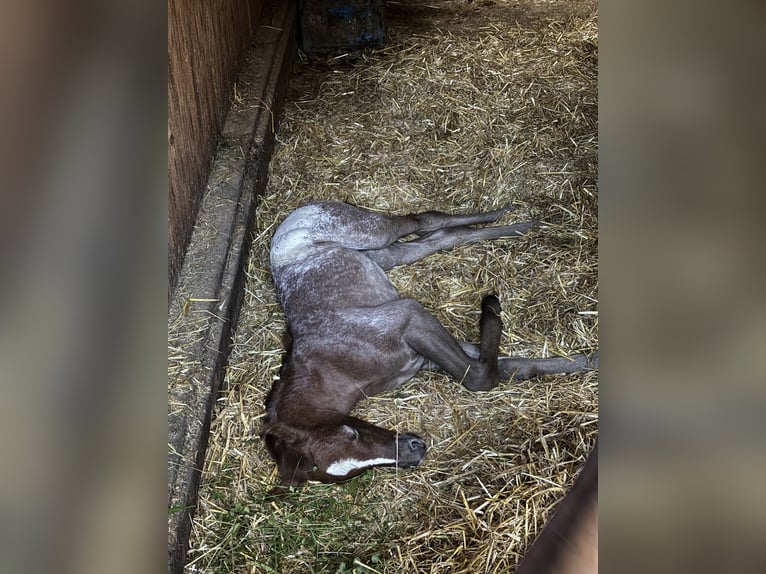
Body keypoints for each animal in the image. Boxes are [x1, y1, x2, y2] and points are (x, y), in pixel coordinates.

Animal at [260, 201, 596, 486]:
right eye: (352, 473)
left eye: (351, 432)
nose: (416, 448)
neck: (333, 366)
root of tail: (285, 227)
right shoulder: (423, 356)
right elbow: (503, 369)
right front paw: (587, 360)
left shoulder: (409, 318)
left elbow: (479, 376)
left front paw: (490, 309)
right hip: (381, 256)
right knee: (433, 240)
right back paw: (515, 226)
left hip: (368, 232)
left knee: (423, 220)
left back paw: (513, 217)